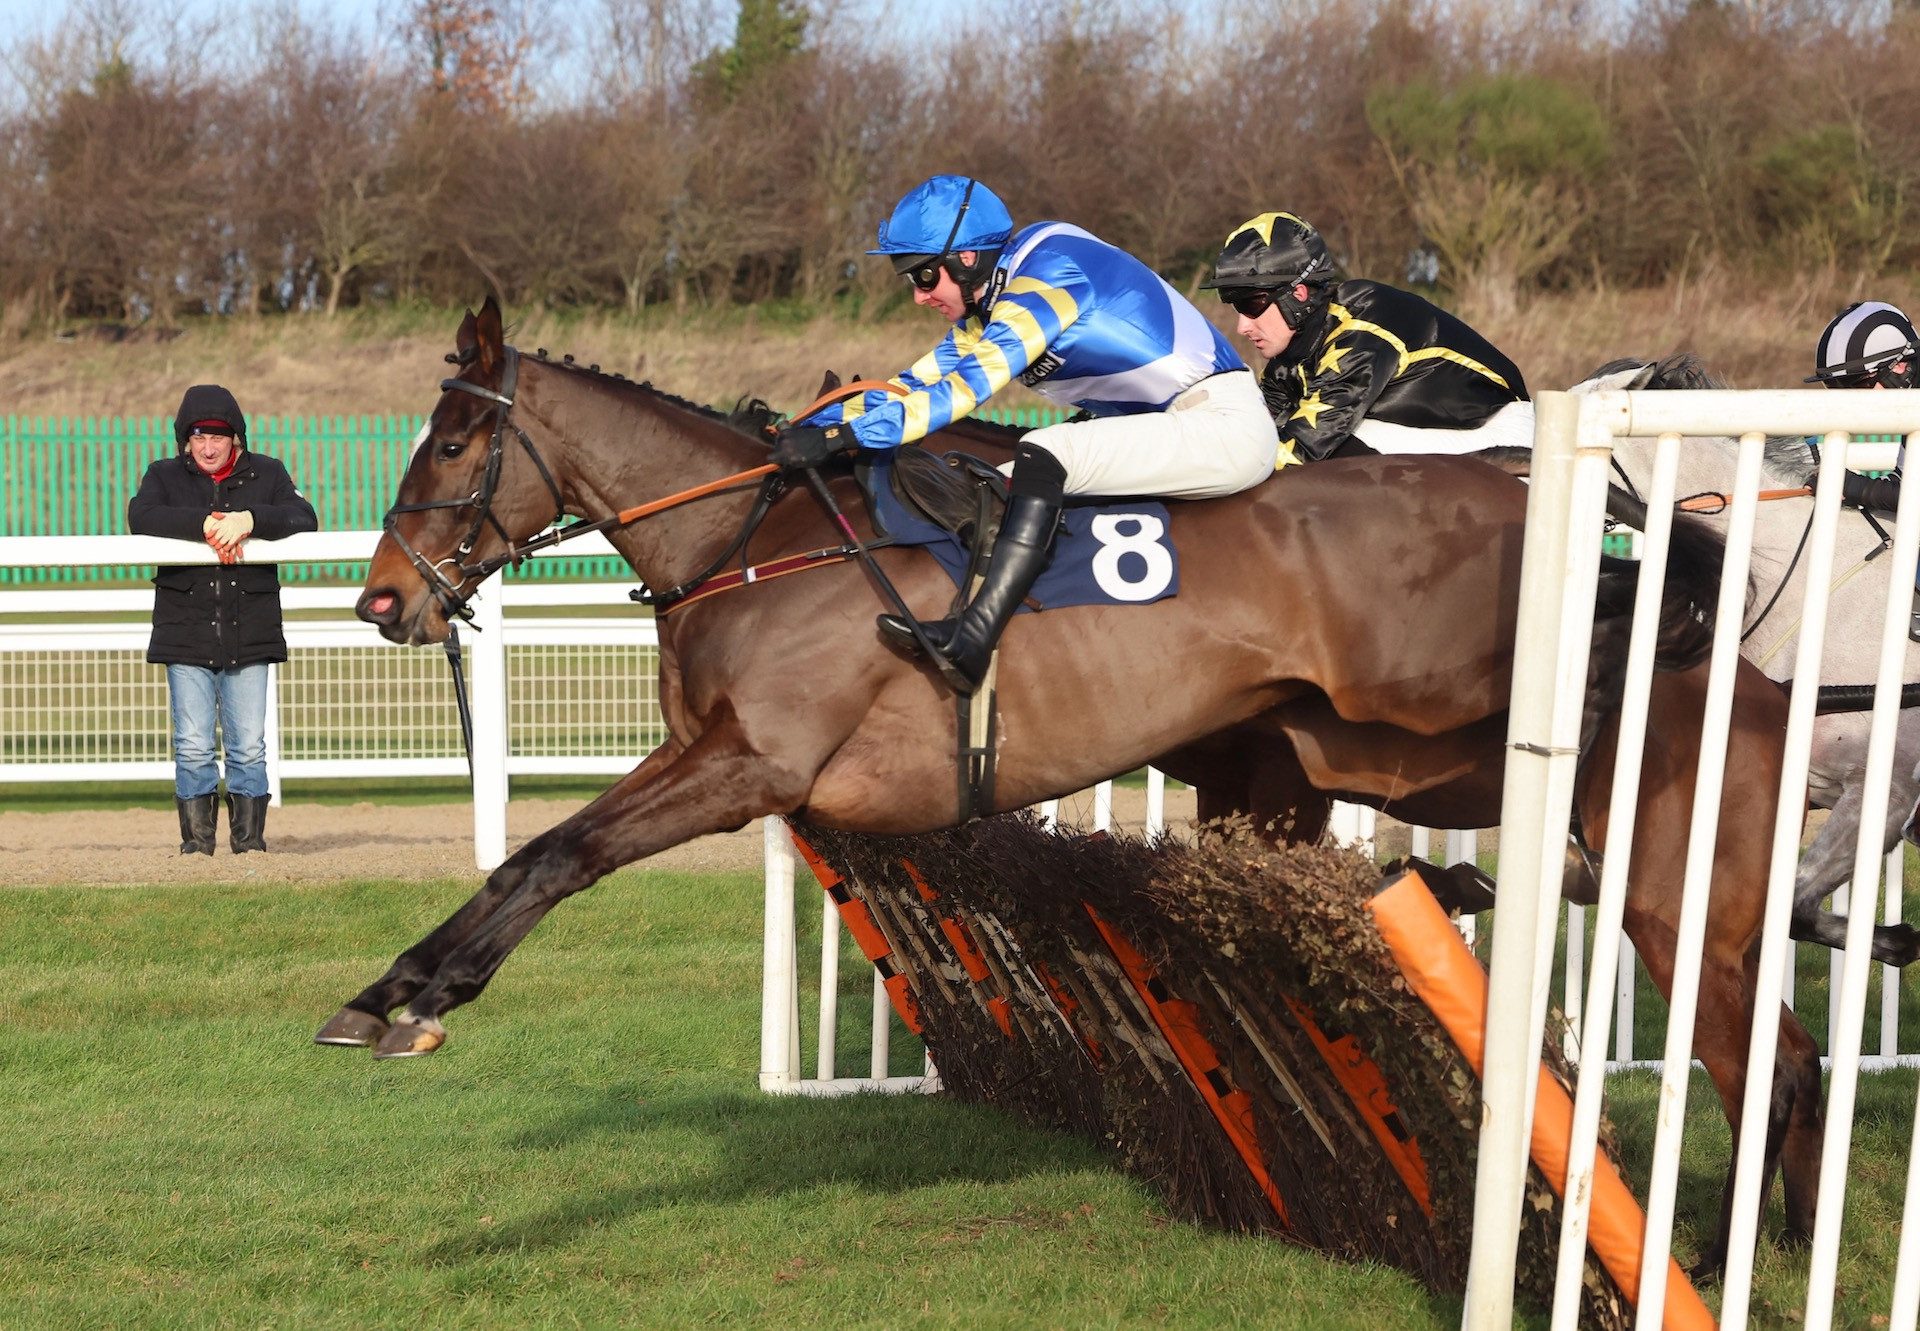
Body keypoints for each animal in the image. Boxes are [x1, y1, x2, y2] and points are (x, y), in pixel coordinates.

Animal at [322, 301, 1804, 1275]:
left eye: (450, 443)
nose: (382, 599)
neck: (754, 538)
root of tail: (1514, 481)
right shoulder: (707, 752)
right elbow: (538, 851)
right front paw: (385, 990)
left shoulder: (753, 763)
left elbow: (553, 854)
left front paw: (418, 994)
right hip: (1355, 749)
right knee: (1763, 1032)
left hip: (1443, 711)